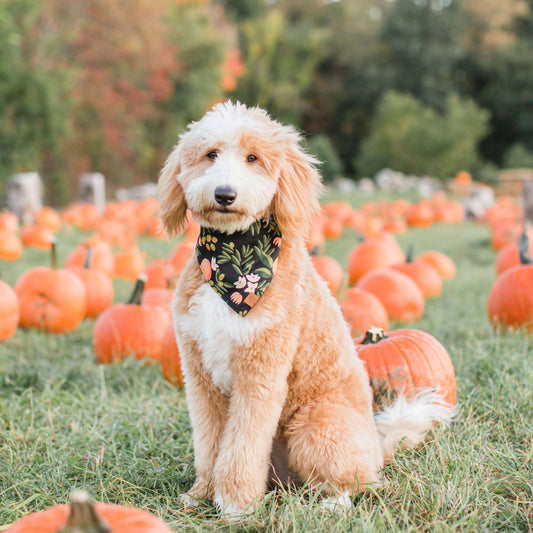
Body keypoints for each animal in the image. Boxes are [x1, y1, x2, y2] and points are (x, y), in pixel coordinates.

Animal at [156, 100, 450, 516]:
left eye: (253, 158)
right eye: (210, 154)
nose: (225, 193)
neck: (233, 258)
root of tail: (379, 449)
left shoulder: (260, 373)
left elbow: (242, 443)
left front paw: (234, 502)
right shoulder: (200, 376)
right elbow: (209, 442)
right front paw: (201, 494)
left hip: (316, 424)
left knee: (356, 483)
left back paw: (331, 505)